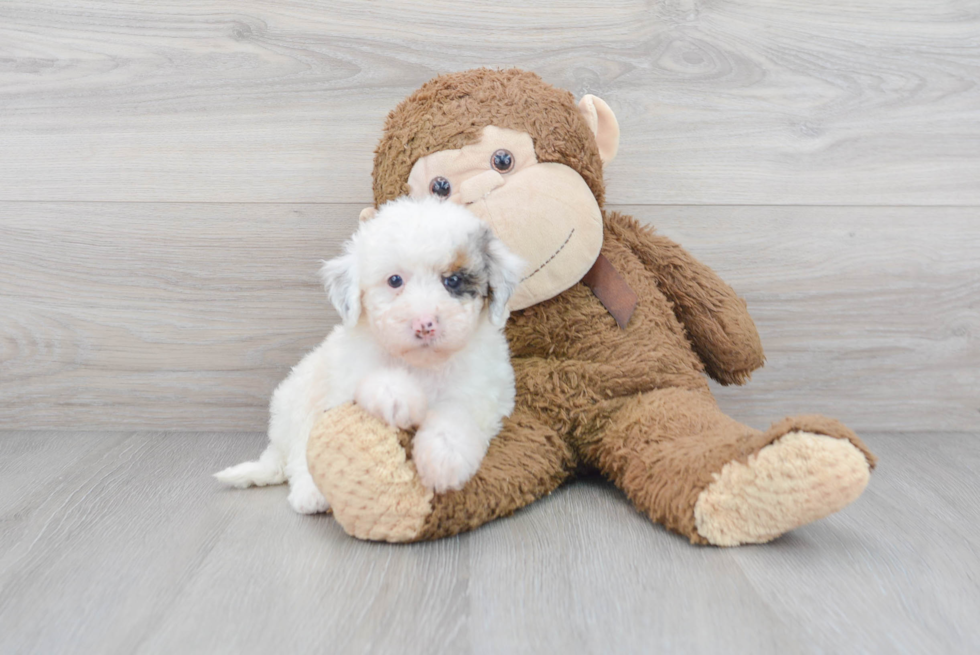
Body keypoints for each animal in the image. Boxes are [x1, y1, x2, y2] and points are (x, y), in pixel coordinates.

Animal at [212, 197, 524, 516]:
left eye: (454, 280)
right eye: (395, 280)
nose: (424, 324)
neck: (420, 365)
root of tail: (276, 446)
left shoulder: (484, 393)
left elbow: (456, 414)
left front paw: (445, 459)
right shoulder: (348, 376)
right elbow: (375, 381)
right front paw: (398, 398)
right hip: (299, 401)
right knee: (301, 453)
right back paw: (310, 493)